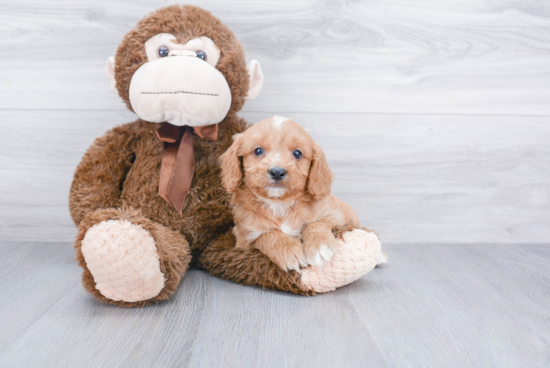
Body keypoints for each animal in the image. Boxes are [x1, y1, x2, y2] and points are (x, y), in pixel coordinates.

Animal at [220, 116, 362, 272]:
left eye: (297, 153)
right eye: (258, 151)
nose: (277, 172)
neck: (279, 203)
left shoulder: (335, 216)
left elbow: (317, 223)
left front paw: (320, 247)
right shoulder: (243, 238)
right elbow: (268, 234)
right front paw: (288, 252)